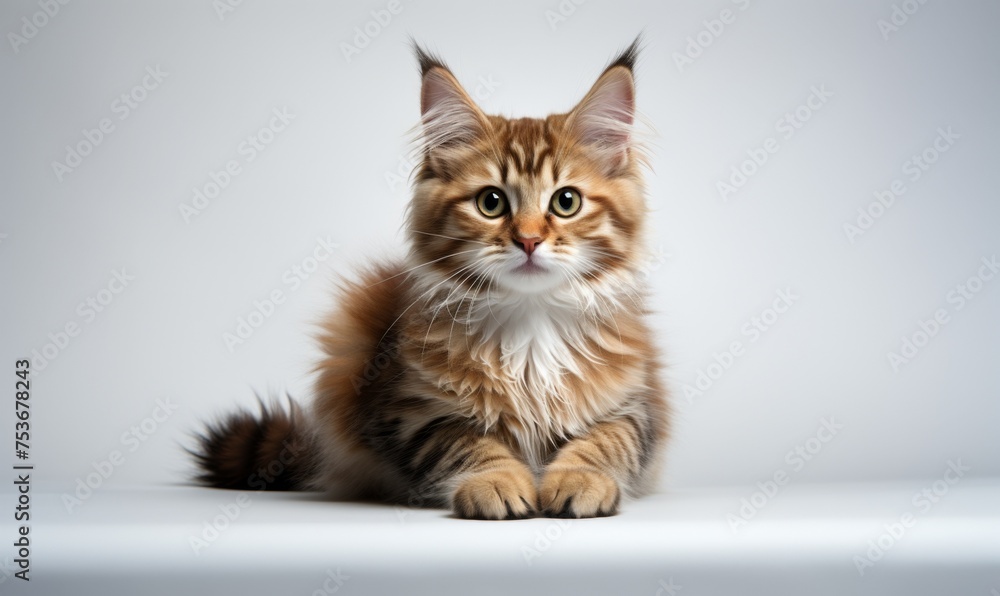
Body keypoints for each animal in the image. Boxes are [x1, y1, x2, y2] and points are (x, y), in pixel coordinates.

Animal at [191, 39, 668, 520]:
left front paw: (580, 479)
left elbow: (606, 439)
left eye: (566, 202)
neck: (530, 325)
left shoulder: (635, 404)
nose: (529, 240)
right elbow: (465, 443)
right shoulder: (409, 411)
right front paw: (495, 482)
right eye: (491, 203)